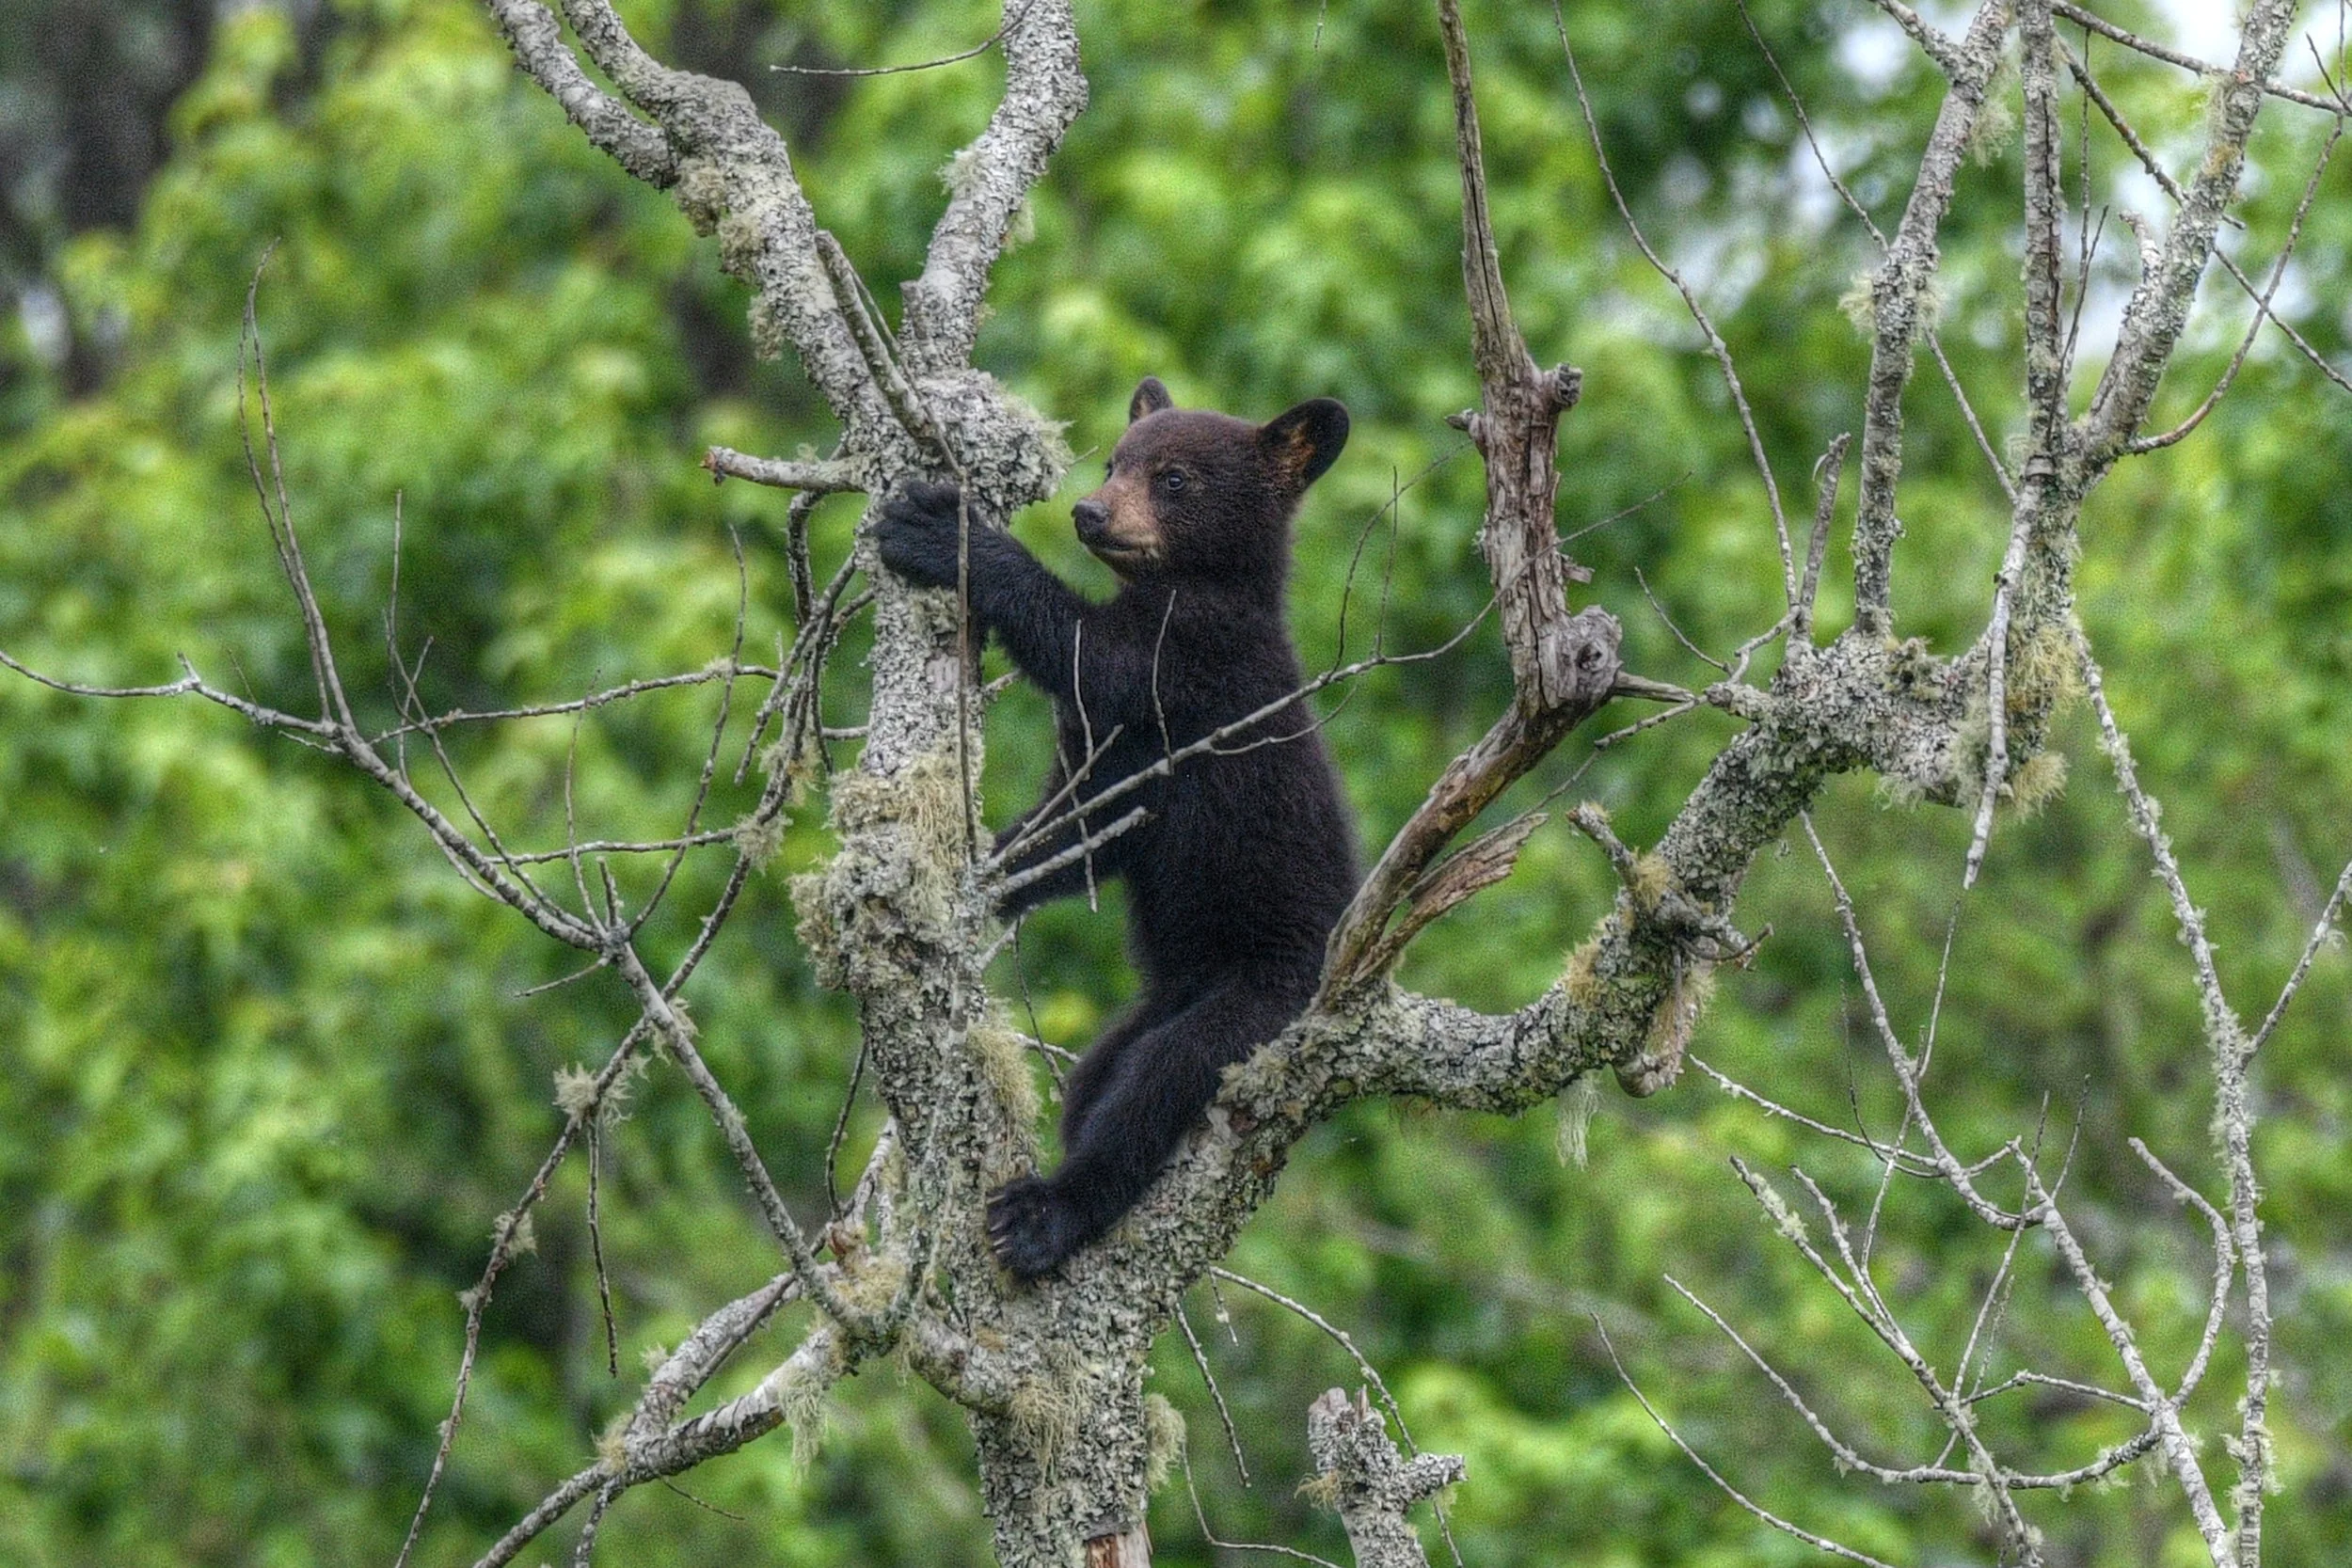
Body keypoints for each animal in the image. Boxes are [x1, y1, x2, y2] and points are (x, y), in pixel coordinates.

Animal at [875, 375, 1358, 1278]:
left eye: (1172, 478)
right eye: (1112, 461)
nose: (1090, 512)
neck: (1194, 587)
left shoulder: (1197, 668)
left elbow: (1089, 654)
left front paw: (940, 529)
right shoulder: (1117, 759)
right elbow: (1084, 827)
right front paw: (994, 863)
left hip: (1260, 1001)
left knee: (1159, 1083)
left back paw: (1044, 1213)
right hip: (1158, 999)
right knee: (1099, 1076)